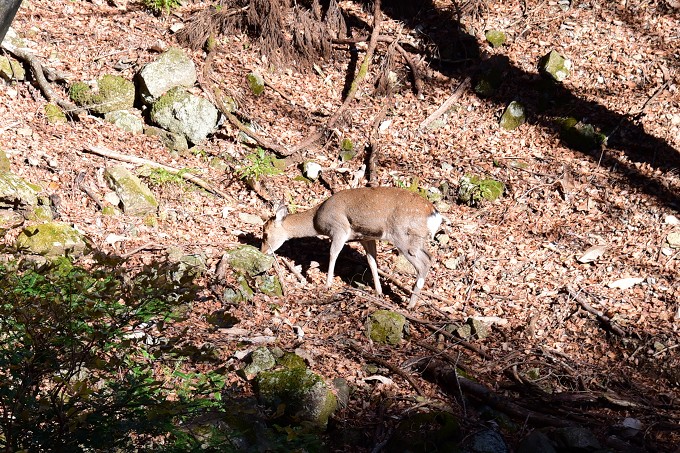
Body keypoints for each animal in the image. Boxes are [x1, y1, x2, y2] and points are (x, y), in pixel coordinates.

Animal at [258, 185, 440, 308]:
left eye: (265, 234)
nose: (262, 251)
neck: (317, 221)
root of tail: (434, 214)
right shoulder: (366, 237)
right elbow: (372, 262)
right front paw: (378, 291)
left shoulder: (339, 229)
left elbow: (333, 254)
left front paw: (327, 285)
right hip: (418, 240)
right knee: (430, 257)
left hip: (403, 236)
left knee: (424, 263)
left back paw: (410, 304)